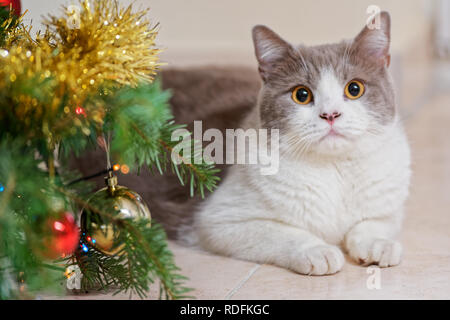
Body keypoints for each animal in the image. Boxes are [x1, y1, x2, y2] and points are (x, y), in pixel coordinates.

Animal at [74, 10, 412, 276]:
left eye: (354, 89)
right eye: (301, 94)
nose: (331, 114)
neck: (333, 171)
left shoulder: (389, 201)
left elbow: (375, 221)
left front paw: (378, 244)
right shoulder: (219, 220)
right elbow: (279, 232)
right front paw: (317, 251)